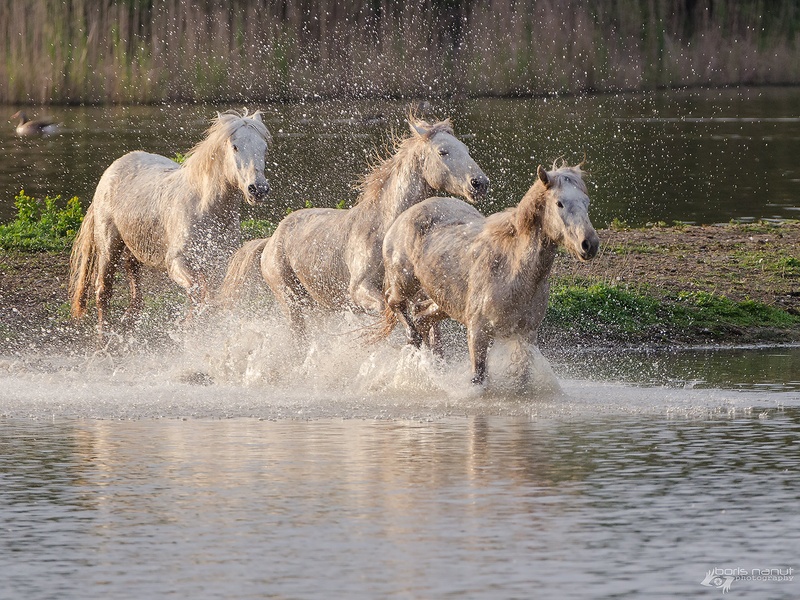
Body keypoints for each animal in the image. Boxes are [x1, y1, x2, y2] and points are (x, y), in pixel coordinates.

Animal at [69, 109, 272, 335]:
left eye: (264, 148)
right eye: (235, 146)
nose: (258, 189)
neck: (205, 209)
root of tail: (113, 168)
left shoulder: (218, 263)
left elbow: (208, 297)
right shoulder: (176, 260)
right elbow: (197, 292)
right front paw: (186, 324)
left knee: (132, 275)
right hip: (108, 245)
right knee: (103, 291)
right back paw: (103, 337)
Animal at [219, 114, 489, 340]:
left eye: (466, 149)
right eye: (443, 151)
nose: (480, 183)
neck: (385, 229)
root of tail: (271, 239)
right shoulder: (359, 290)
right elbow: (388, 312)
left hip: (318, 306)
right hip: (291, 301)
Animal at [381, 161, 600, 385]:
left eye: (586, 203)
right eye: (559, 203)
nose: (589, 244)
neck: (513, 271)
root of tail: (406, 215)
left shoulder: (525, 336)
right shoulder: (478, 333)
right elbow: (479, 376)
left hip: (444, 301)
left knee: (421, 316)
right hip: (405, 282)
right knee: (393, 301)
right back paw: (412, 339)